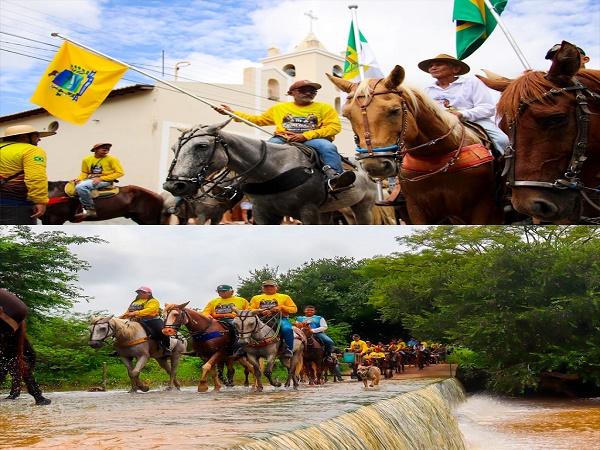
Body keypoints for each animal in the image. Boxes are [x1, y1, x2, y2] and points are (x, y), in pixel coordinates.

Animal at [162, 120, 378, 224]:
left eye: (202, 146)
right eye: (173, 148)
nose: (174, 185)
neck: (272, 170)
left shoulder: (308, 212)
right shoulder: (262, 214)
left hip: (362, 207)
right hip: (329, 210)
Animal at [328, 67, 506, 225]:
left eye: (395, 110)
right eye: (347, 115)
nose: (375, 165)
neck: (436, 159)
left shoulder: (483, 208)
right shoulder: (416, 209)